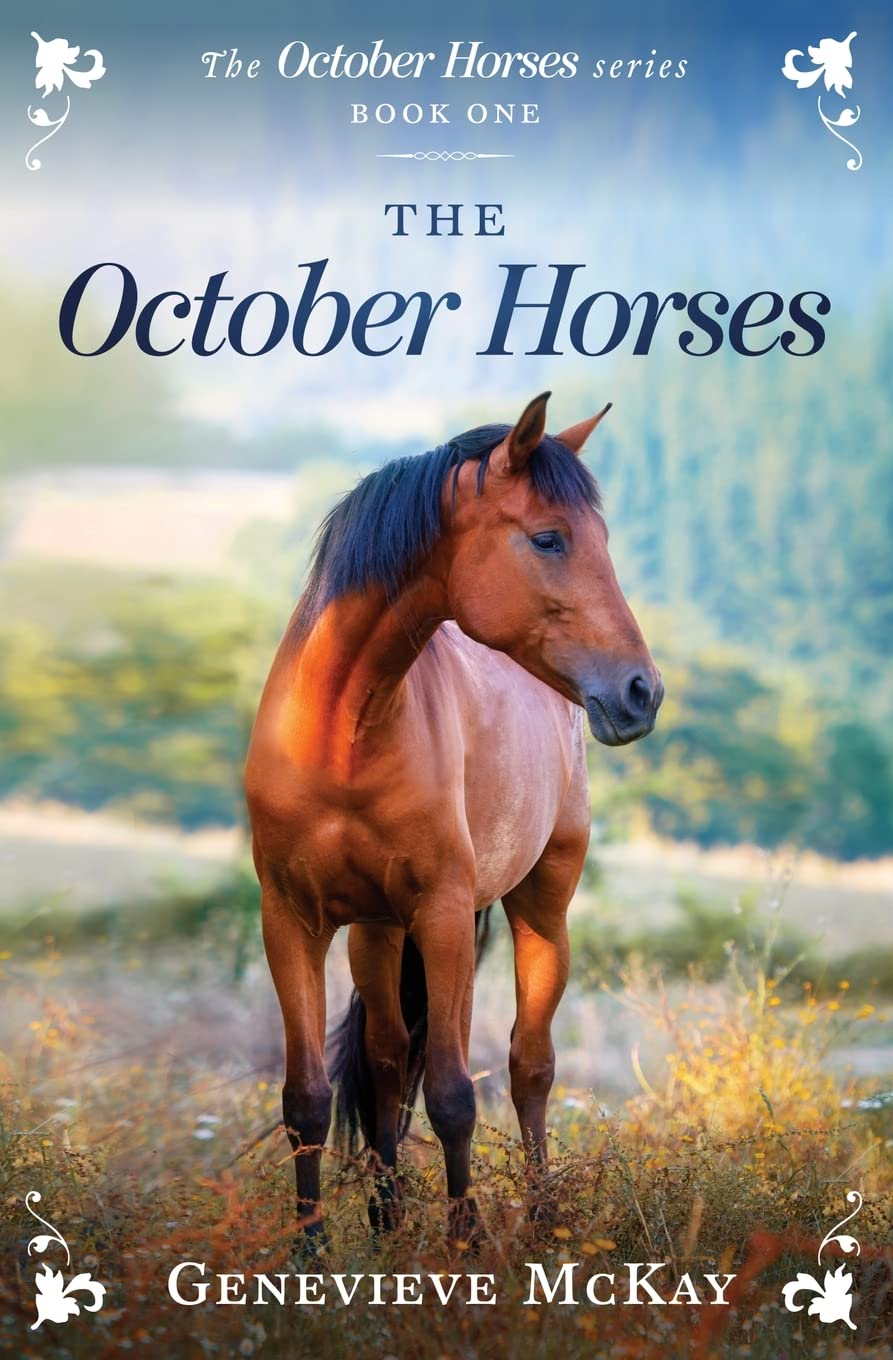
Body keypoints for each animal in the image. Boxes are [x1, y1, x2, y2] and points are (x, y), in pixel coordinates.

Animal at [244, 392, 663, 1249]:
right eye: (547, 537)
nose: (641, 691)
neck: (344, 734)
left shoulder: (440, 915)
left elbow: (452, 1097)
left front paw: (463, 1246)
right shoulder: (290, 920)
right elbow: (307, 1097)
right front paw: (310, 1255)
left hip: (538, 907)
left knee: (528, 1066)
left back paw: (539, 1223)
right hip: (376, 932)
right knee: (382, 1060)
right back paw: (386, 1221)